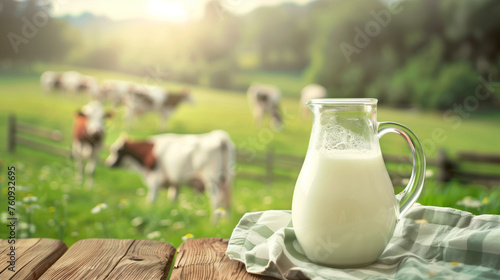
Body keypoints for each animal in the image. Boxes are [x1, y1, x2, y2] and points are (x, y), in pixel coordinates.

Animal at [104, 130, 236, 221]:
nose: (108, 163)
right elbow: (173, 199)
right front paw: (172, 213)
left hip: (211, 179)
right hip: (227, 179)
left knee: (217, 200)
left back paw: (213, 223)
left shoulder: (155, 179)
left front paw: (150, 212)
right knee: (227, 200)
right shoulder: (175, 183)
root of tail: (220, 137)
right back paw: (226, 223)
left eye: (116, 150)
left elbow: (151, 199)